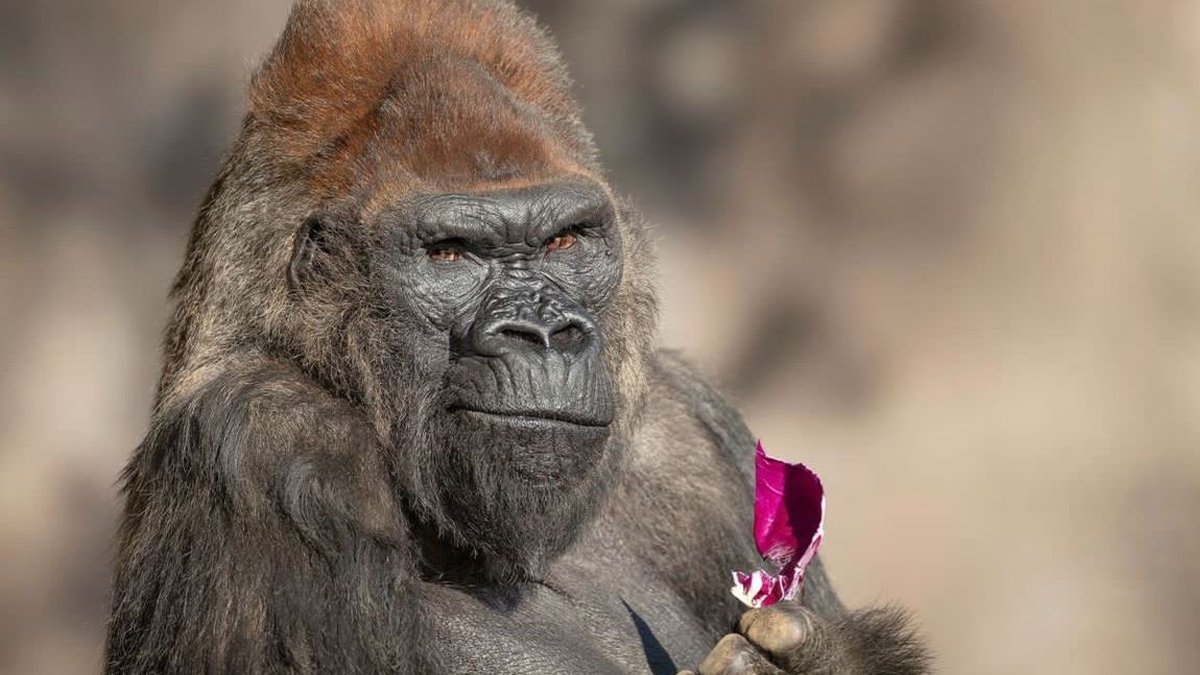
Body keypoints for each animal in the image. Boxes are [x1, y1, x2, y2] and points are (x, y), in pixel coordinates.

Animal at [104, 1, 930, 673]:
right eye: (452, 254)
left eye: (566, 241)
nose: (544, 332)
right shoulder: (270, 433)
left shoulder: (691, 429)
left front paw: (828, 658)